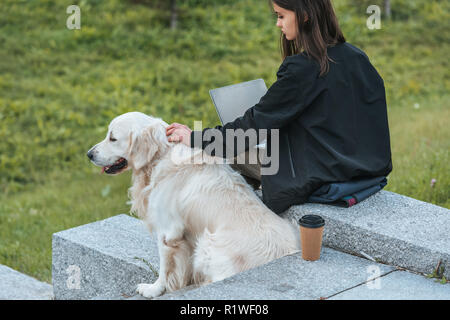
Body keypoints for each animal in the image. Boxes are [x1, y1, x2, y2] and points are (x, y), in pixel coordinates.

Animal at [86, 112, 300, 298]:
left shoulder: (168, 230)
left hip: (207, 244)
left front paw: (153, 289)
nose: (89, 154)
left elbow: (165, 268)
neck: (161, 156)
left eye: (113, 138)